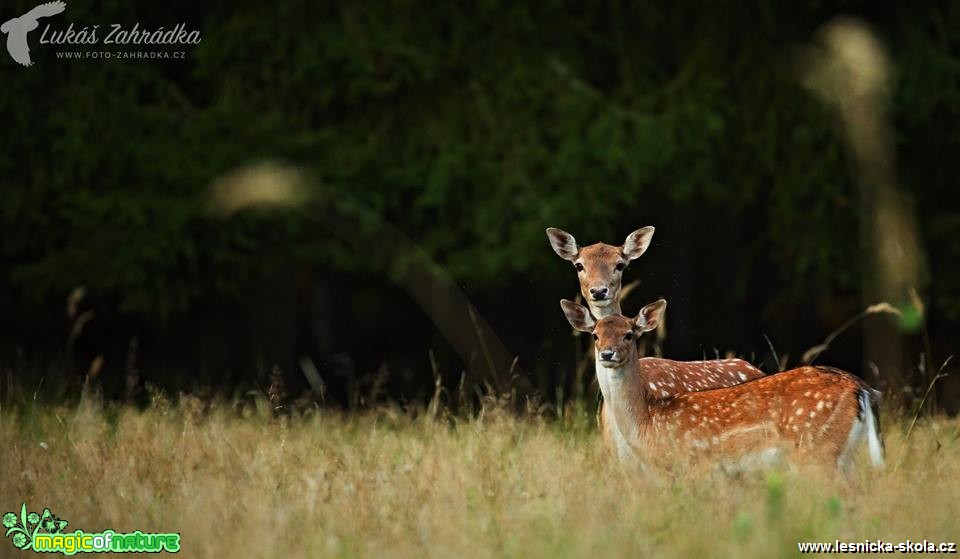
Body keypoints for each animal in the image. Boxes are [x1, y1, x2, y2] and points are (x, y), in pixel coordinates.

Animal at [564, 298, 884, 472]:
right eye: (595, 335)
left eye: (629, 334)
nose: (607, 354)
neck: (647, 422)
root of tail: (861, 388)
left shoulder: (692, 465)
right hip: (843, 456)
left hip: (817, 450)